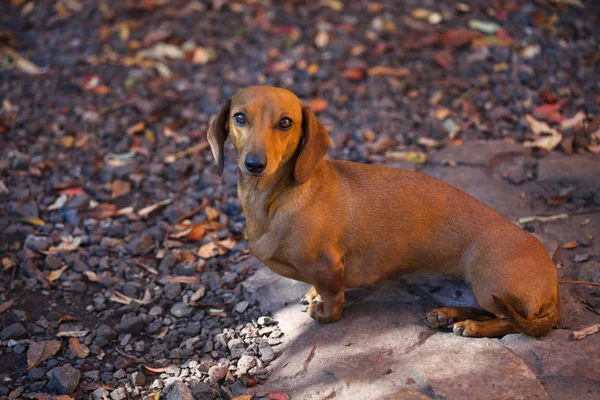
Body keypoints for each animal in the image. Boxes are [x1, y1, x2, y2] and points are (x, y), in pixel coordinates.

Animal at [209, 86, 560, 336]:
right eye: (239, 118)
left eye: (285, 122)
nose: (255, 164)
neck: (278, 198)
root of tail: (553, 280)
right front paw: (313, 294)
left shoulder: (327, 267)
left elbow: (334, 299)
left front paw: (323, 313)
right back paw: (446, 314)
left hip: (489, 285)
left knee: (509, 322)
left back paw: (471, 327)